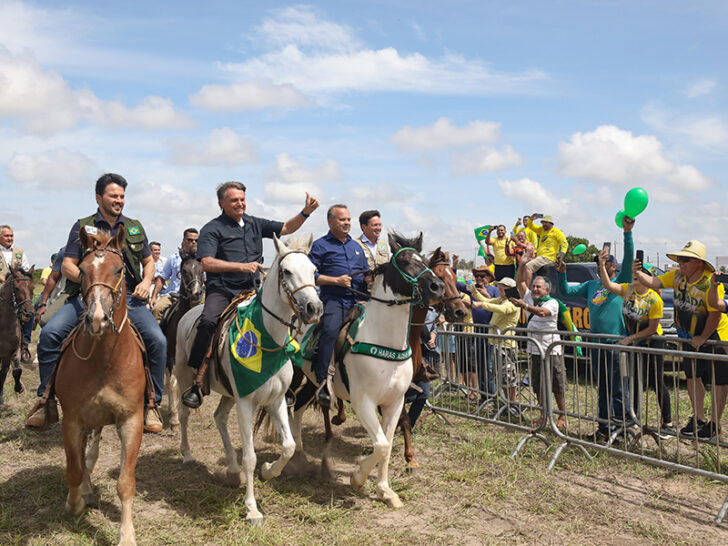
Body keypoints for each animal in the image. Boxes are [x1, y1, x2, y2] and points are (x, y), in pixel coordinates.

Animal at [0, 268, 34, 404]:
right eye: (17, 287)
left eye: (32, 287)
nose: (28, 313)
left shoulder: (13, 351)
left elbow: (16, 371)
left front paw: (19, 387)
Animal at [55, 223, 145, 540]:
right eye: (82, 270)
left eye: (119, 269)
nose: (96, 320)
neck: (105, 361)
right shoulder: (72, 419)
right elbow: (73, 468)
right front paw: (74, 505)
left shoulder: (131, 419)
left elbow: (125, 482)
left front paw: (127, 536)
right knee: (82, 460)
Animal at [173, 233, 322, 524]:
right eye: (287, 272)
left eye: (313, 270)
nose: (314, 308)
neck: (269, 340)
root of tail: (188, 314)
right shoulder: (246, 402)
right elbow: (250, 456)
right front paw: (252, 509)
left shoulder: (276, 401)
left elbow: (288, 446)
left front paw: (269, 470)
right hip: (185, 377)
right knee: (184, 415)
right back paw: (187, 455)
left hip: (230, 393)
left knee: (219, 418)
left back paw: (232, 470)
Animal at [290, 232, 444, 508]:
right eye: (403, 261)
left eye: (425, 261)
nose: (437, 287)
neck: (385, 340)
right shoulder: (363, 402)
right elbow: (380, 445)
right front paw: (357, 477)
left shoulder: (395, 402)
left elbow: (388, 444)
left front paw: (385, 491)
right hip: (293, 376)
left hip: (312, 381)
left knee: (298, 406)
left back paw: (299, 453)